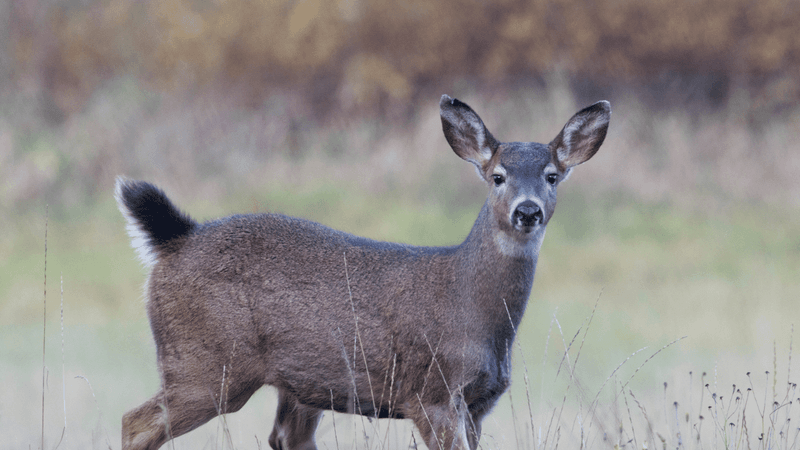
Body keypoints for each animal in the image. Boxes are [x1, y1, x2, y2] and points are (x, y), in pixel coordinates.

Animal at [115, 93, 608, 448]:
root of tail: (174, 240)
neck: (471, 308)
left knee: (282, 437)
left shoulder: (478, 405)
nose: (527, 211)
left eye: (551, 176)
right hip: (207, 364)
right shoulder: (431, 394)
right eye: (498, 176)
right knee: (133, 422)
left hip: (290, 385)